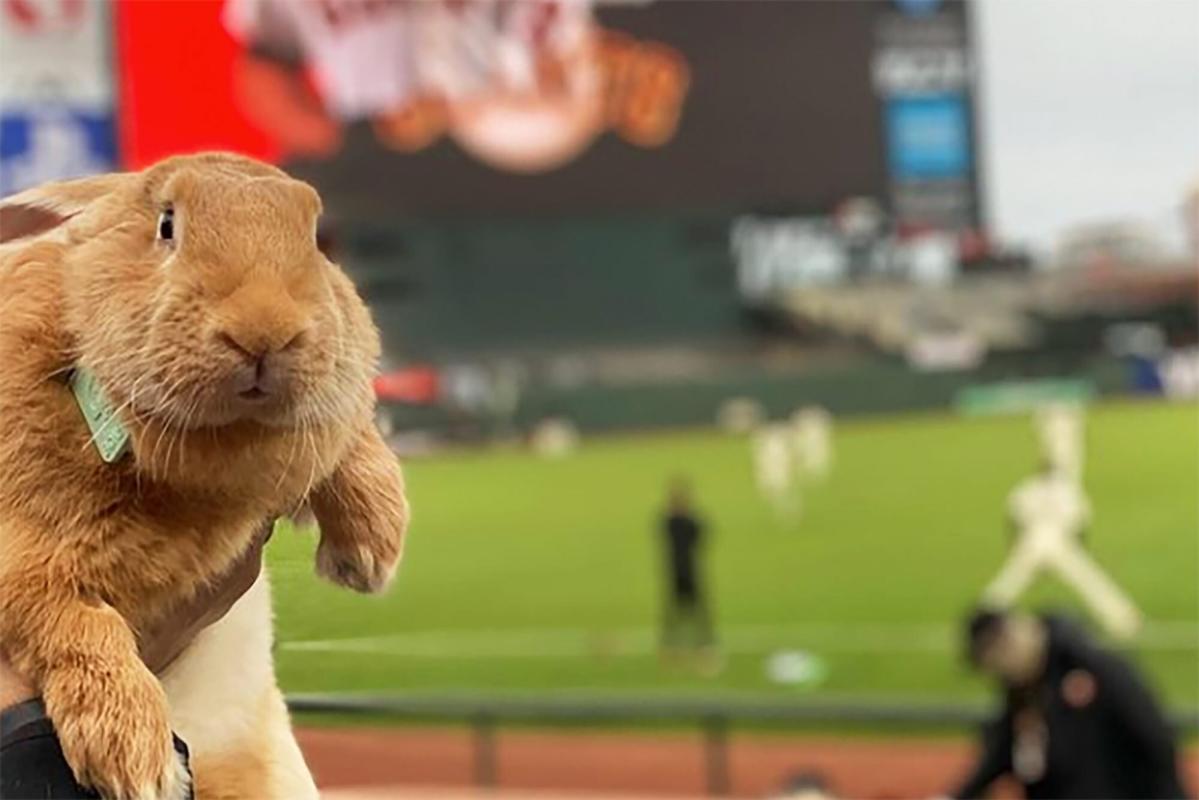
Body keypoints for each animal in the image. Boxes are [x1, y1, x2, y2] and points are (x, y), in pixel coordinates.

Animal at [0, 154, 407, 800]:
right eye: (167, 224)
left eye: (314, 236)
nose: (265, 331)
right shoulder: (27, 571)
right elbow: (77, 628)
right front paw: (136, 762)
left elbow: (349, 429)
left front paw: (369, 555)